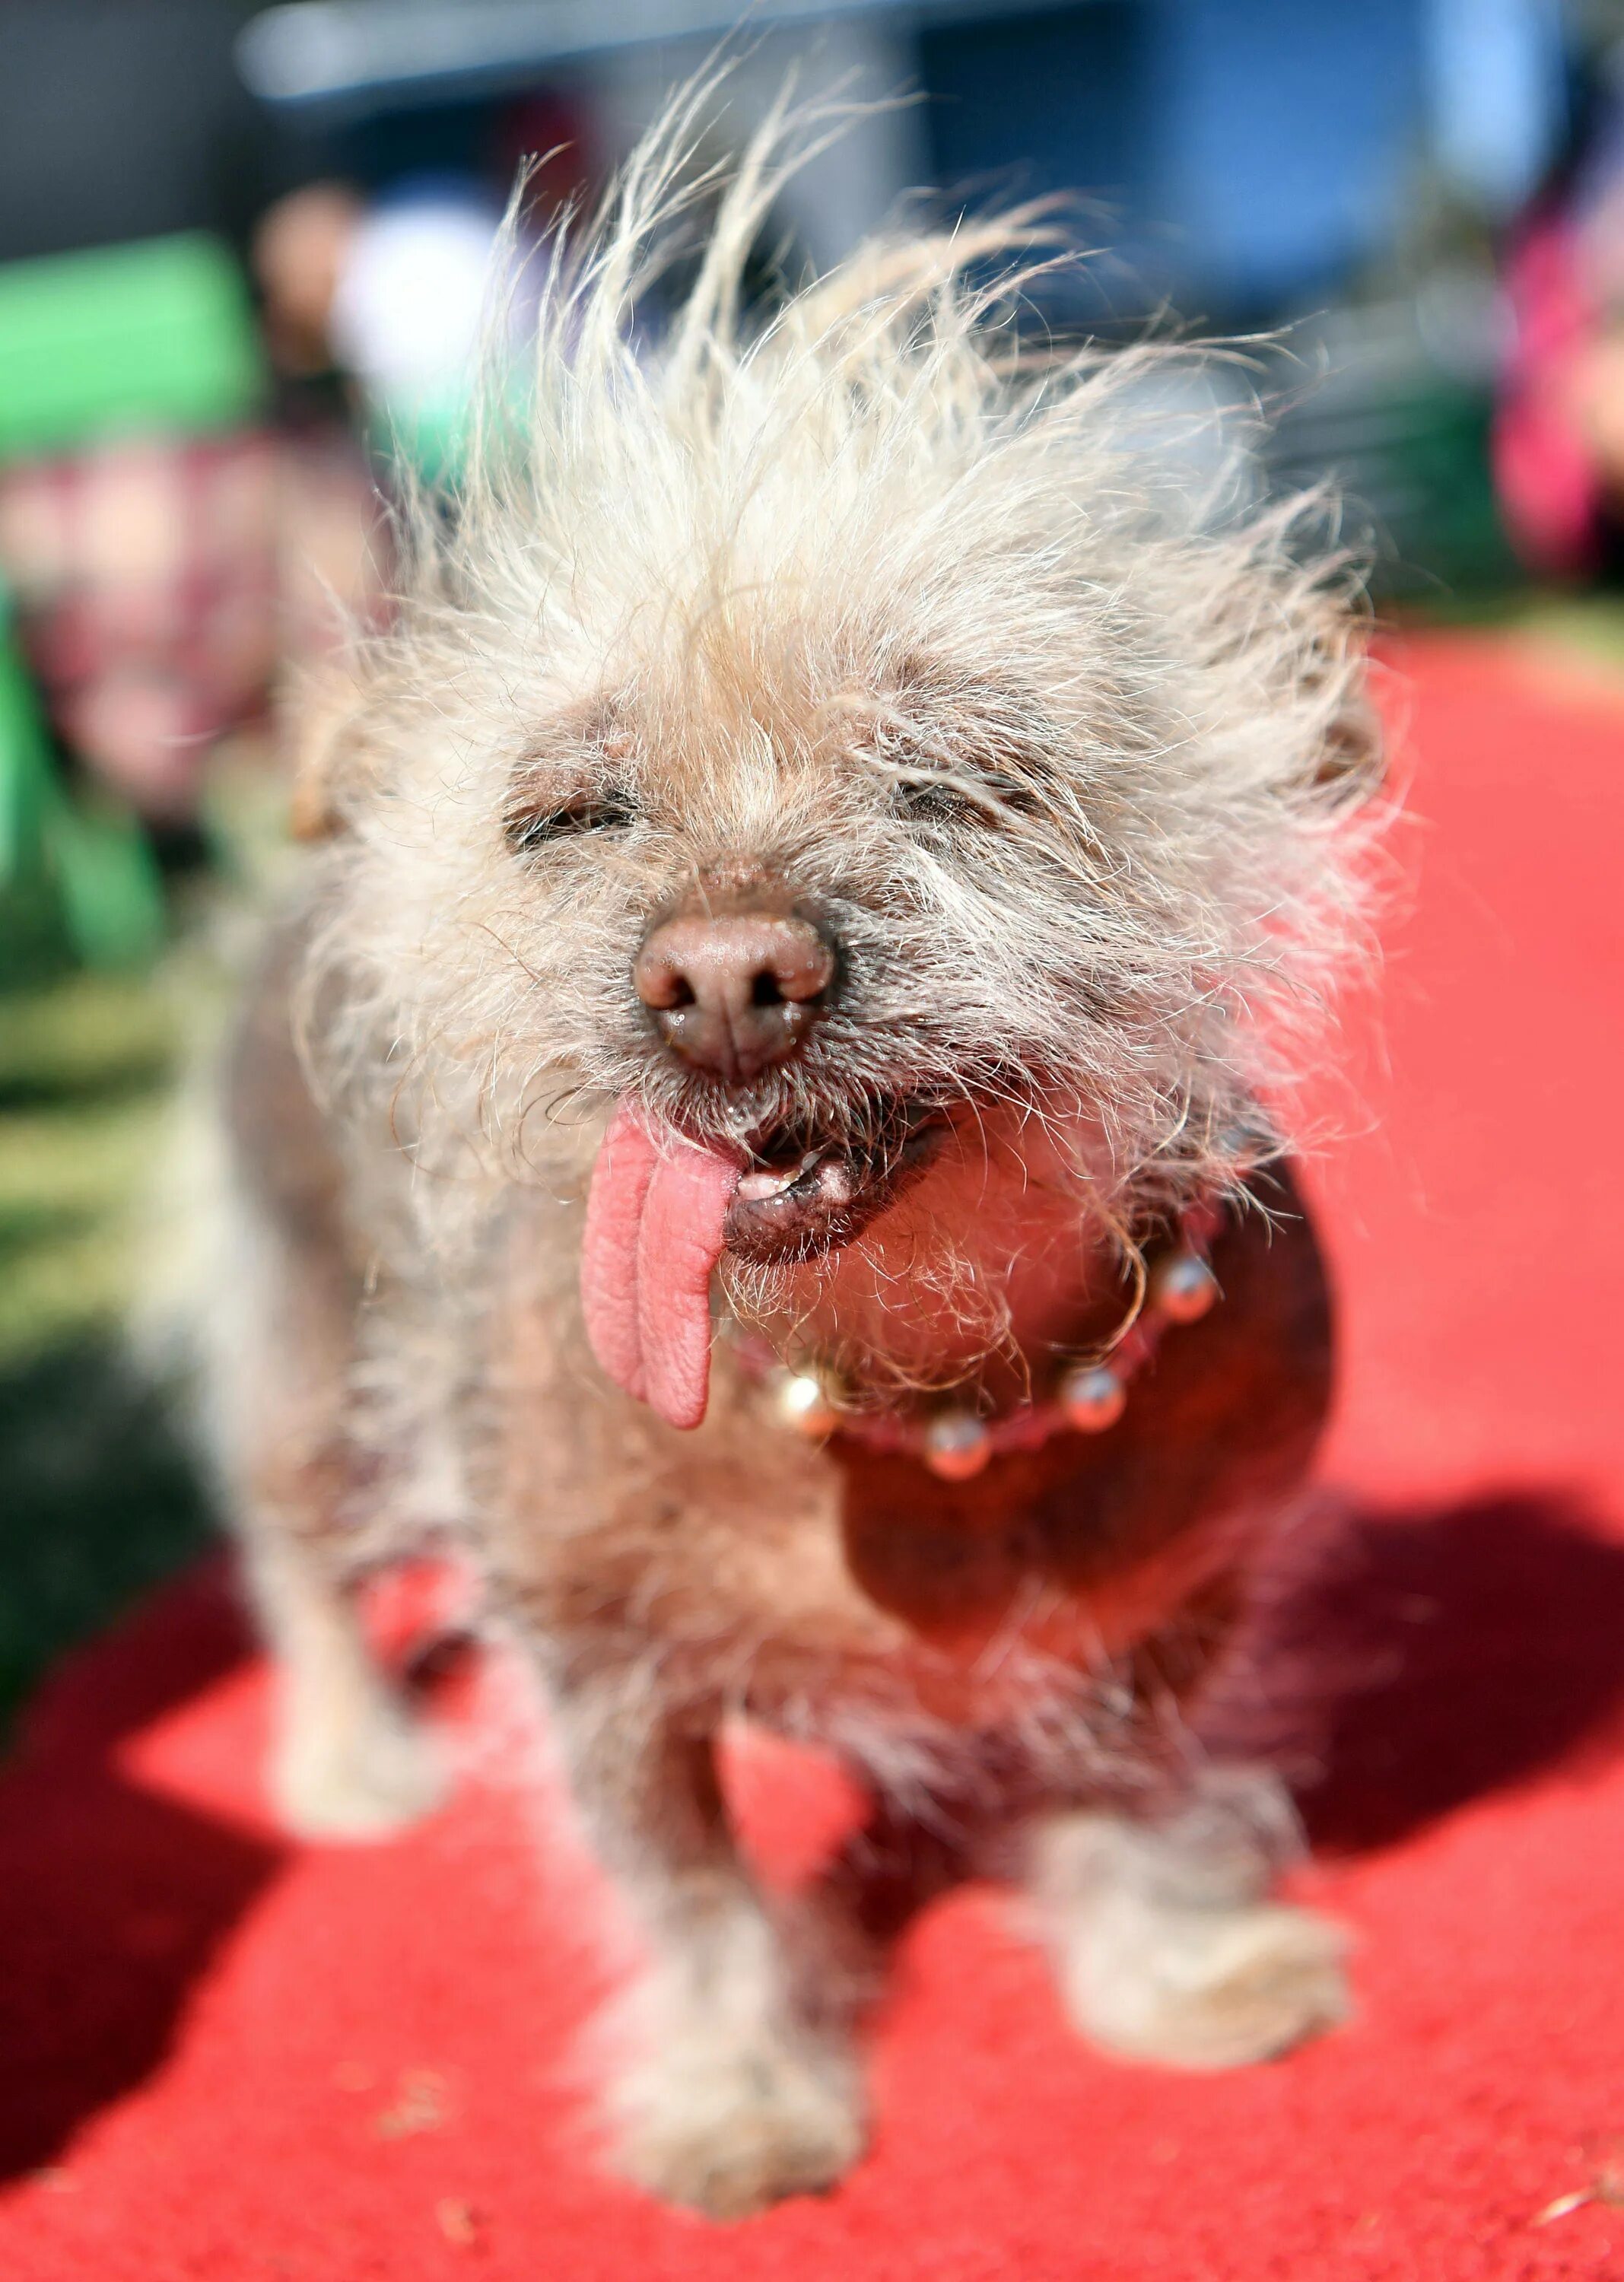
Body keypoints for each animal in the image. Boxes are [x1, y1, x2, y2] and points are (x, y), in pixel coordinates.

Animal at [206, 89, 1387, 2209]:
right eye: (568, 814)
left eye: (963, 778)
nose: (724, 978)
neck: (910, 1398)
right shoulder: (595, 1671)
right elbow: (689, 1898)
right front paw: (740, 2093)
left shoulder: (1182, 1599)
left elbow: (1132, 1777)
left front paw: (1171, 1971)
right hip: (310, 1365)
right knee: (294, 1554)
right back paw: (347, 1757)